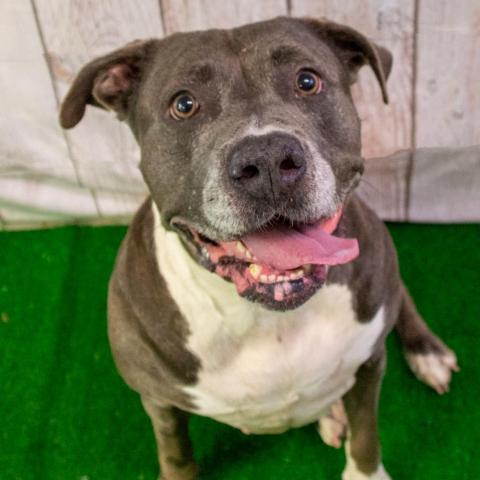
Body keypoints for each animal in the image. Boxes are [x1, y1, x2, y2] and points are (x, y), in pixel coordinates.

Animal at [59, 15, 458, 480]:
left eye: (307, 81)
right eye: (183, 104)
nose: (267, 159)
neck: (268, 319)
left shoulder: (370, 362)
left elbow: (366, 437)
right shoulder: (159, 402)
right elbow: (175, 454)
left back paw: (426, 353)